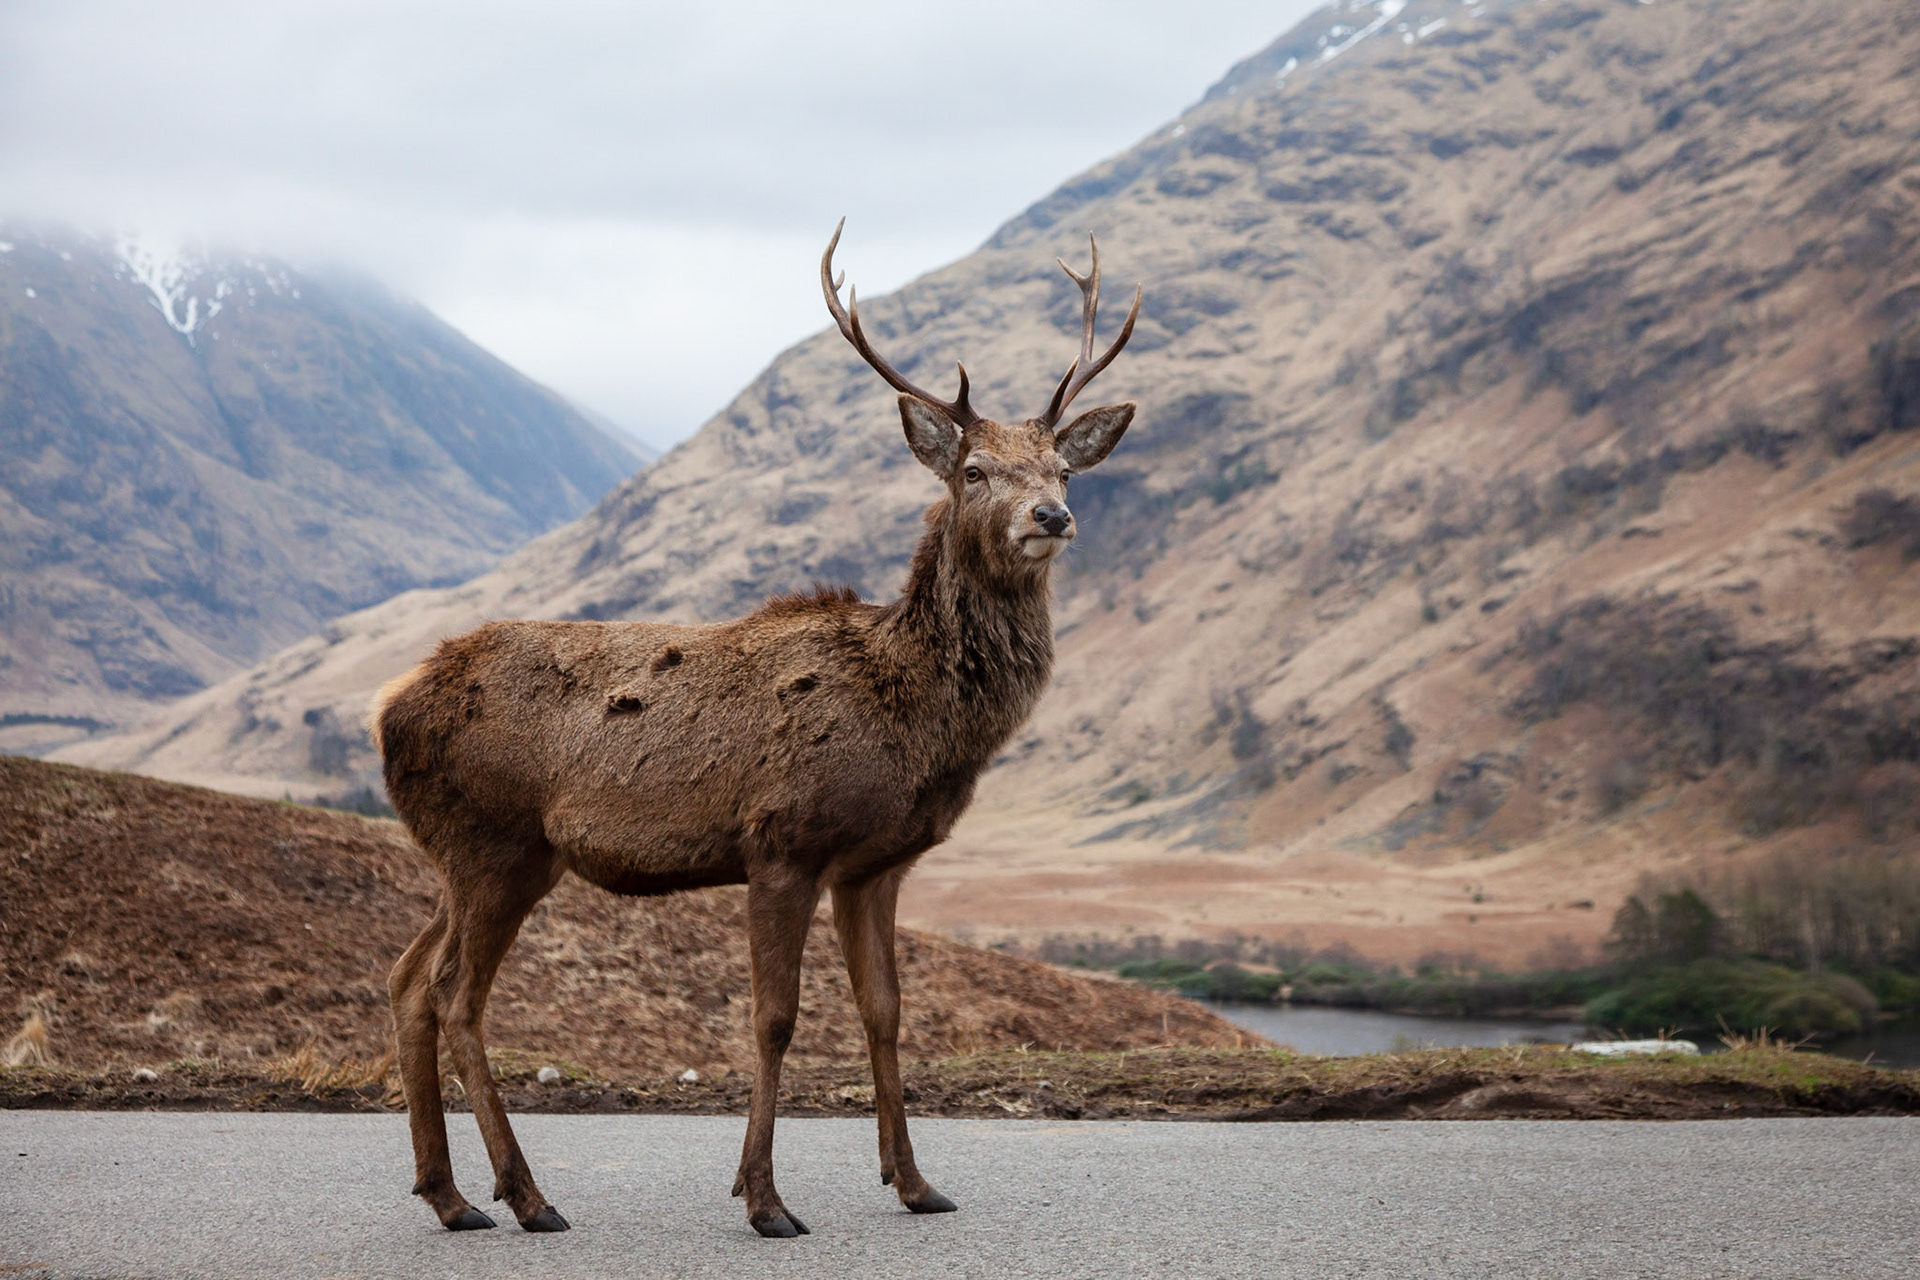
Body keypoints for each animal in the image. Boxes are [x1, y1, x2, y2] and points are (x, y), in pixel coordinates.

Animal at [371, 220, 1142, 1238]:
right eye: (976, 471)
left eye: (1060, 467)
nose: (1052, 515)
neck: (916, 719)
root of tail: (387, 709)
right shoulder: (782, 840)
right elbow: (774, 1018)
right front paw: (766, 1199)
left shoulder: (876, 865)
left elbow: (885, 1011)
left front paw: (915, 1181)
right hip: (491, 841)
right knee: (455, 995)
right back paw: (526, 1196)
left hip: (483, 855)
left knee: (406, 979)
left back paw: (451, 1194)